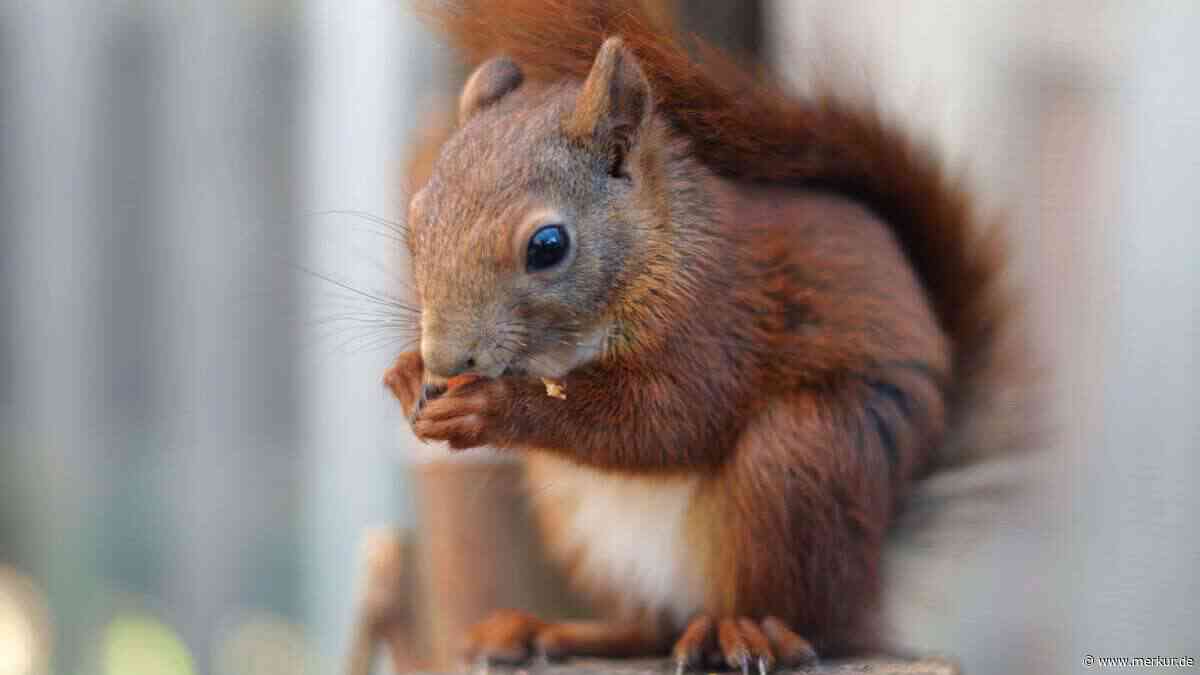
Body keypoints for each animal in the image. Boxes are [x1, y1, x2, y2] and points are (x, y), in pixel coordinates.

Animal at [383, 0, 1015, 670]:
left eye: (548, 245)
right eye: (417, 220)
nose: (447, 357)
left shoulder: (717, 323)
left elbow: (667, 421)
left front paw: (493, 406)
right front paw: (407, 375)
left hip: (804, 458)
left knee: (811, 622)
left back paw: (747, 631)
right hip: (583, 526)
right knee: (650, 628)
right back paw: (551, 631)